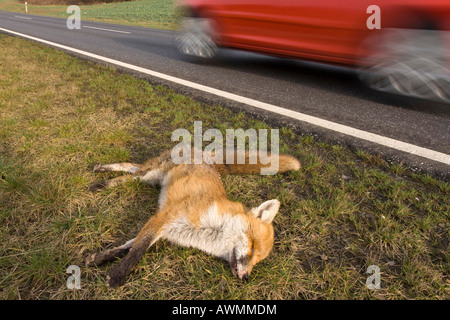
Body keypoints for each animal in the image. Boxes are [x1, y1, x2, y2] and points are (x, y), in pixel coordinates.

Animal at [86, 149, 300, 288]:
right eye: (253, 247)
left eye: (258, 261)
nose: (246, 277)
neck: (209, 232)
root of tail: (204, 154)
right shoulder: (163, 218)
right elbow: (137, 252)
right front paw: (117, 277)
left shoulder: (166, 231)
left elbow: (128, 246)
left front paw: (99, 258)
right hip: (148, 176)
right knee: (128, 173)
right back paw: (101, 181)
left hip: (150, 178)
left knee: (130, 167)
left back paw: (100, 169)